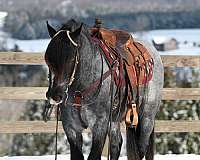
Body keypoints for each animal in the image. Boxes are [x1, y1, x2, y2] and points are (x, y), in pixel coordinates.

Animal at [44, 19, 164, 160]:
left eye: (72, 58)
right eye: (48, 59)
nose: (55, 95)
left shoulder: (100, 126)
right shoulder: (71, 128)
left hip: (146, 118)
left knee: (141, 148)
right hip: (115, 120)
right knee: (116, 144)